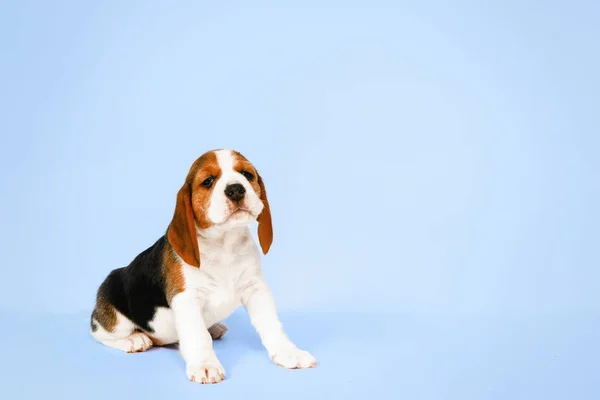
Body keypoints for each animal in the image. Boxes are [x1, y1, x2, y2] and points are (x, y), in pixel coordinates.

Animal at [90, 148, 318, 382]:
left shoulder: (256, 288)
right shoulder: (186, 299)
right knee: (99, 333)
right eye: (208, 181)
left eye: (246, 174)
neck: (224, 244)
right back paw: (134, 340)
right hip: (114, 312)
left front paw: (288, 352)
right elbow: (198, 336)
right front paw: (205, 365)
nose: (236, 190)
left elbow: (271, 324)